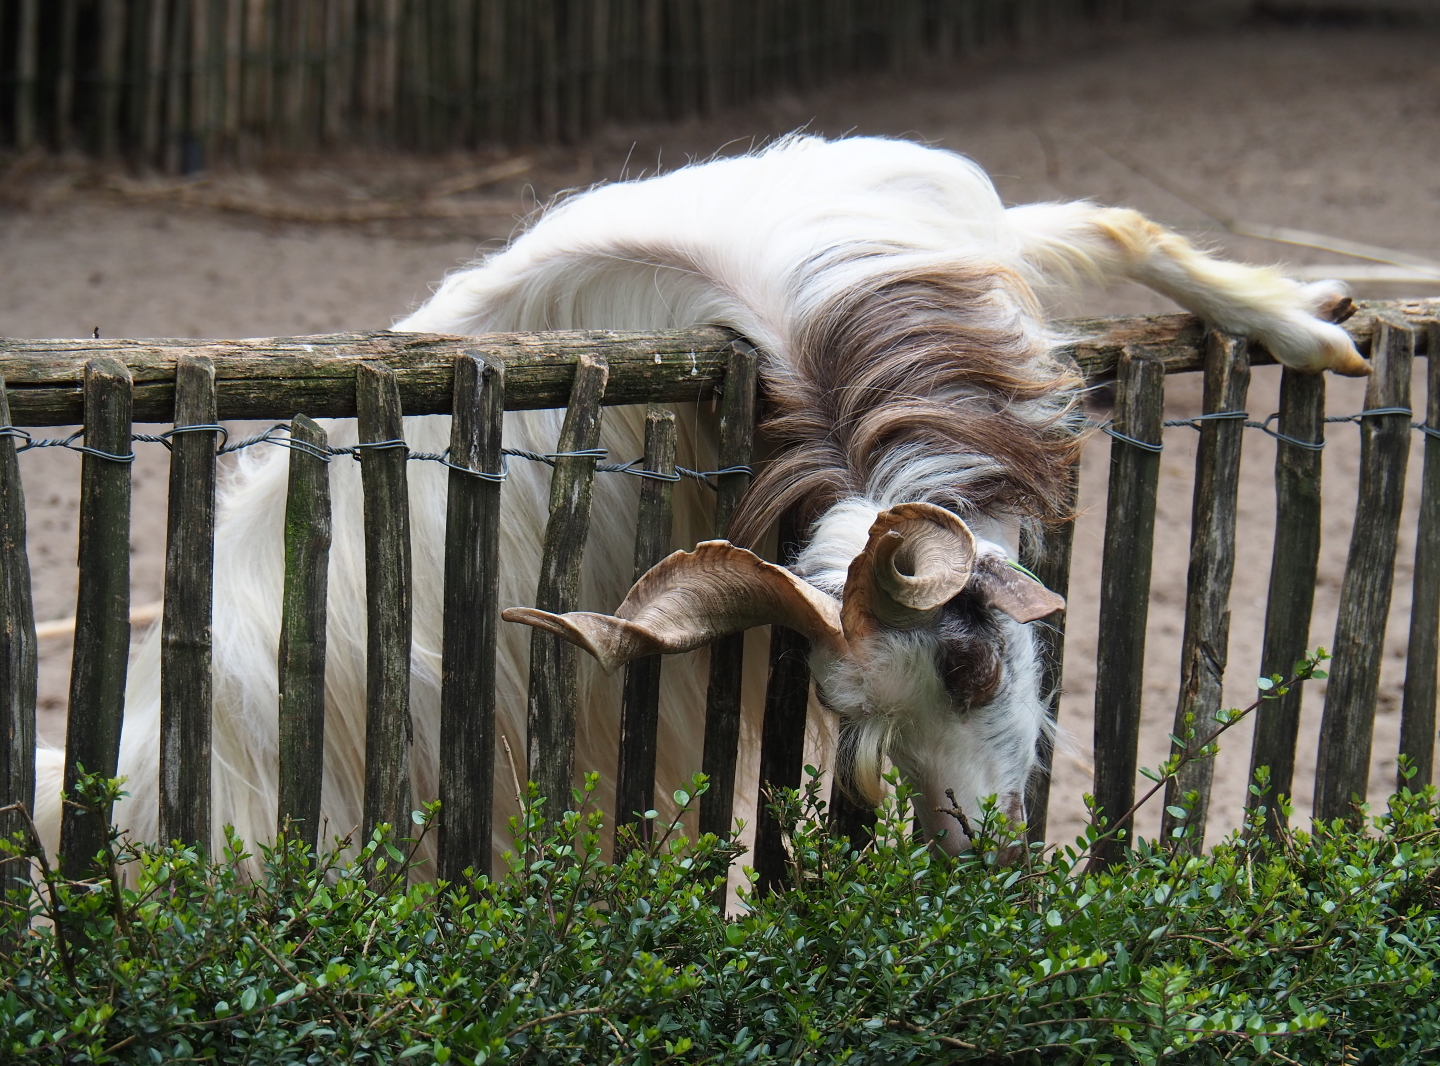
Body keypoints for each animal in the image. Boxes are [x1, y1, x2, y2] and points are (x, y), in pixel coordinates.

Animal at [33, 134, 1366, 867]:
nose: (968, 846)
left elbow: (1112, 224)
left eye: (970, 659)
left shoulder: (960, 251)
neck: (785, 312)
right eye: (846, 706)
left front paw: (1309, 321)